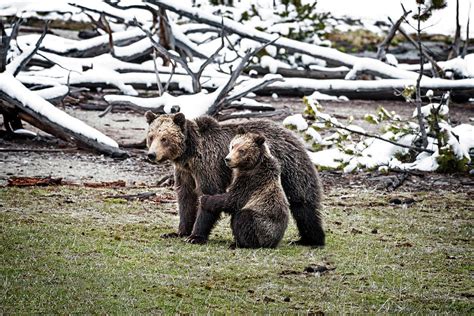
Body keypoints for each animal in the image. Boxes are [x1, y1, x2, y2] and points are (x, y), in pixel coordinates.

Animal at [143, 112, 322, 246]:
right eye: (151, 136)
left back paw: (309, 239)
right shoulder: (185, 172)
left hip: (290, 167)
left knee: (302, 202)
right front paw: (179, 232)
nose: (152, 155)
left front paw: (195, 236)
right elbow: (186, 198)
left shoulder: (208, 164)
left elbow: (209, 193)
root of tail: (291, 134)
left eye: (164, 138)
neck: (189, 154)